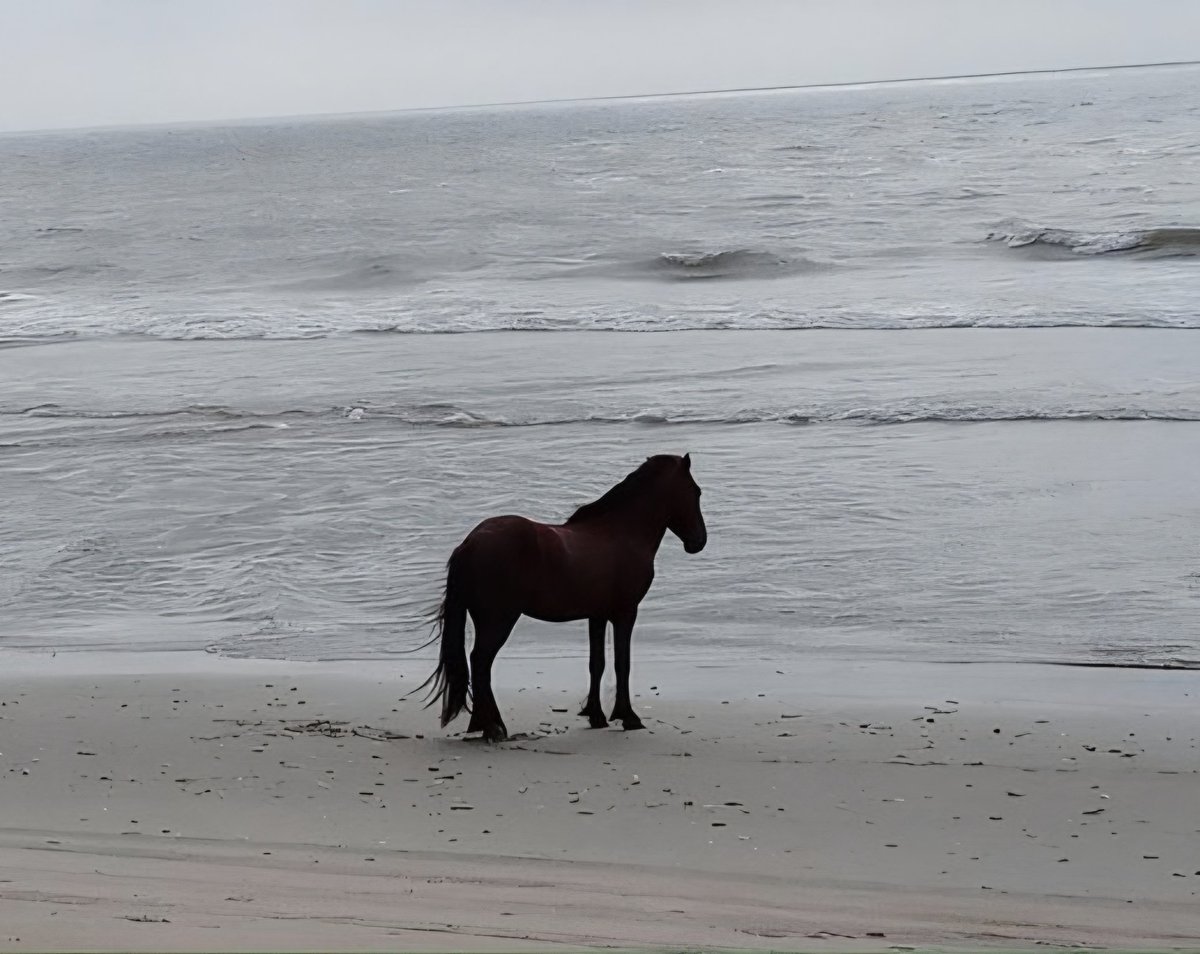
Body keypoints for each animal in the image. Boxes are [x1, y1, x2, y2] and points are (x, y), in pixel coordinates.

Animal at [419, 453, 707, 742]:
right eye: (696, 492)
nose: (699, 541)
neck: (621, 532)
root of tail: (469, 543)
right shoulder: (626, 613)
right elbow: (621, 664)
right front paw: (628, 717)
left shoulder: (597, 615)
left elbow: (597, 663)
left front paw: (596, 716)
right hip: (498, 620)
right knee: (481, 662)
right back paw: (492, 727)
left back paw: (487, 725)